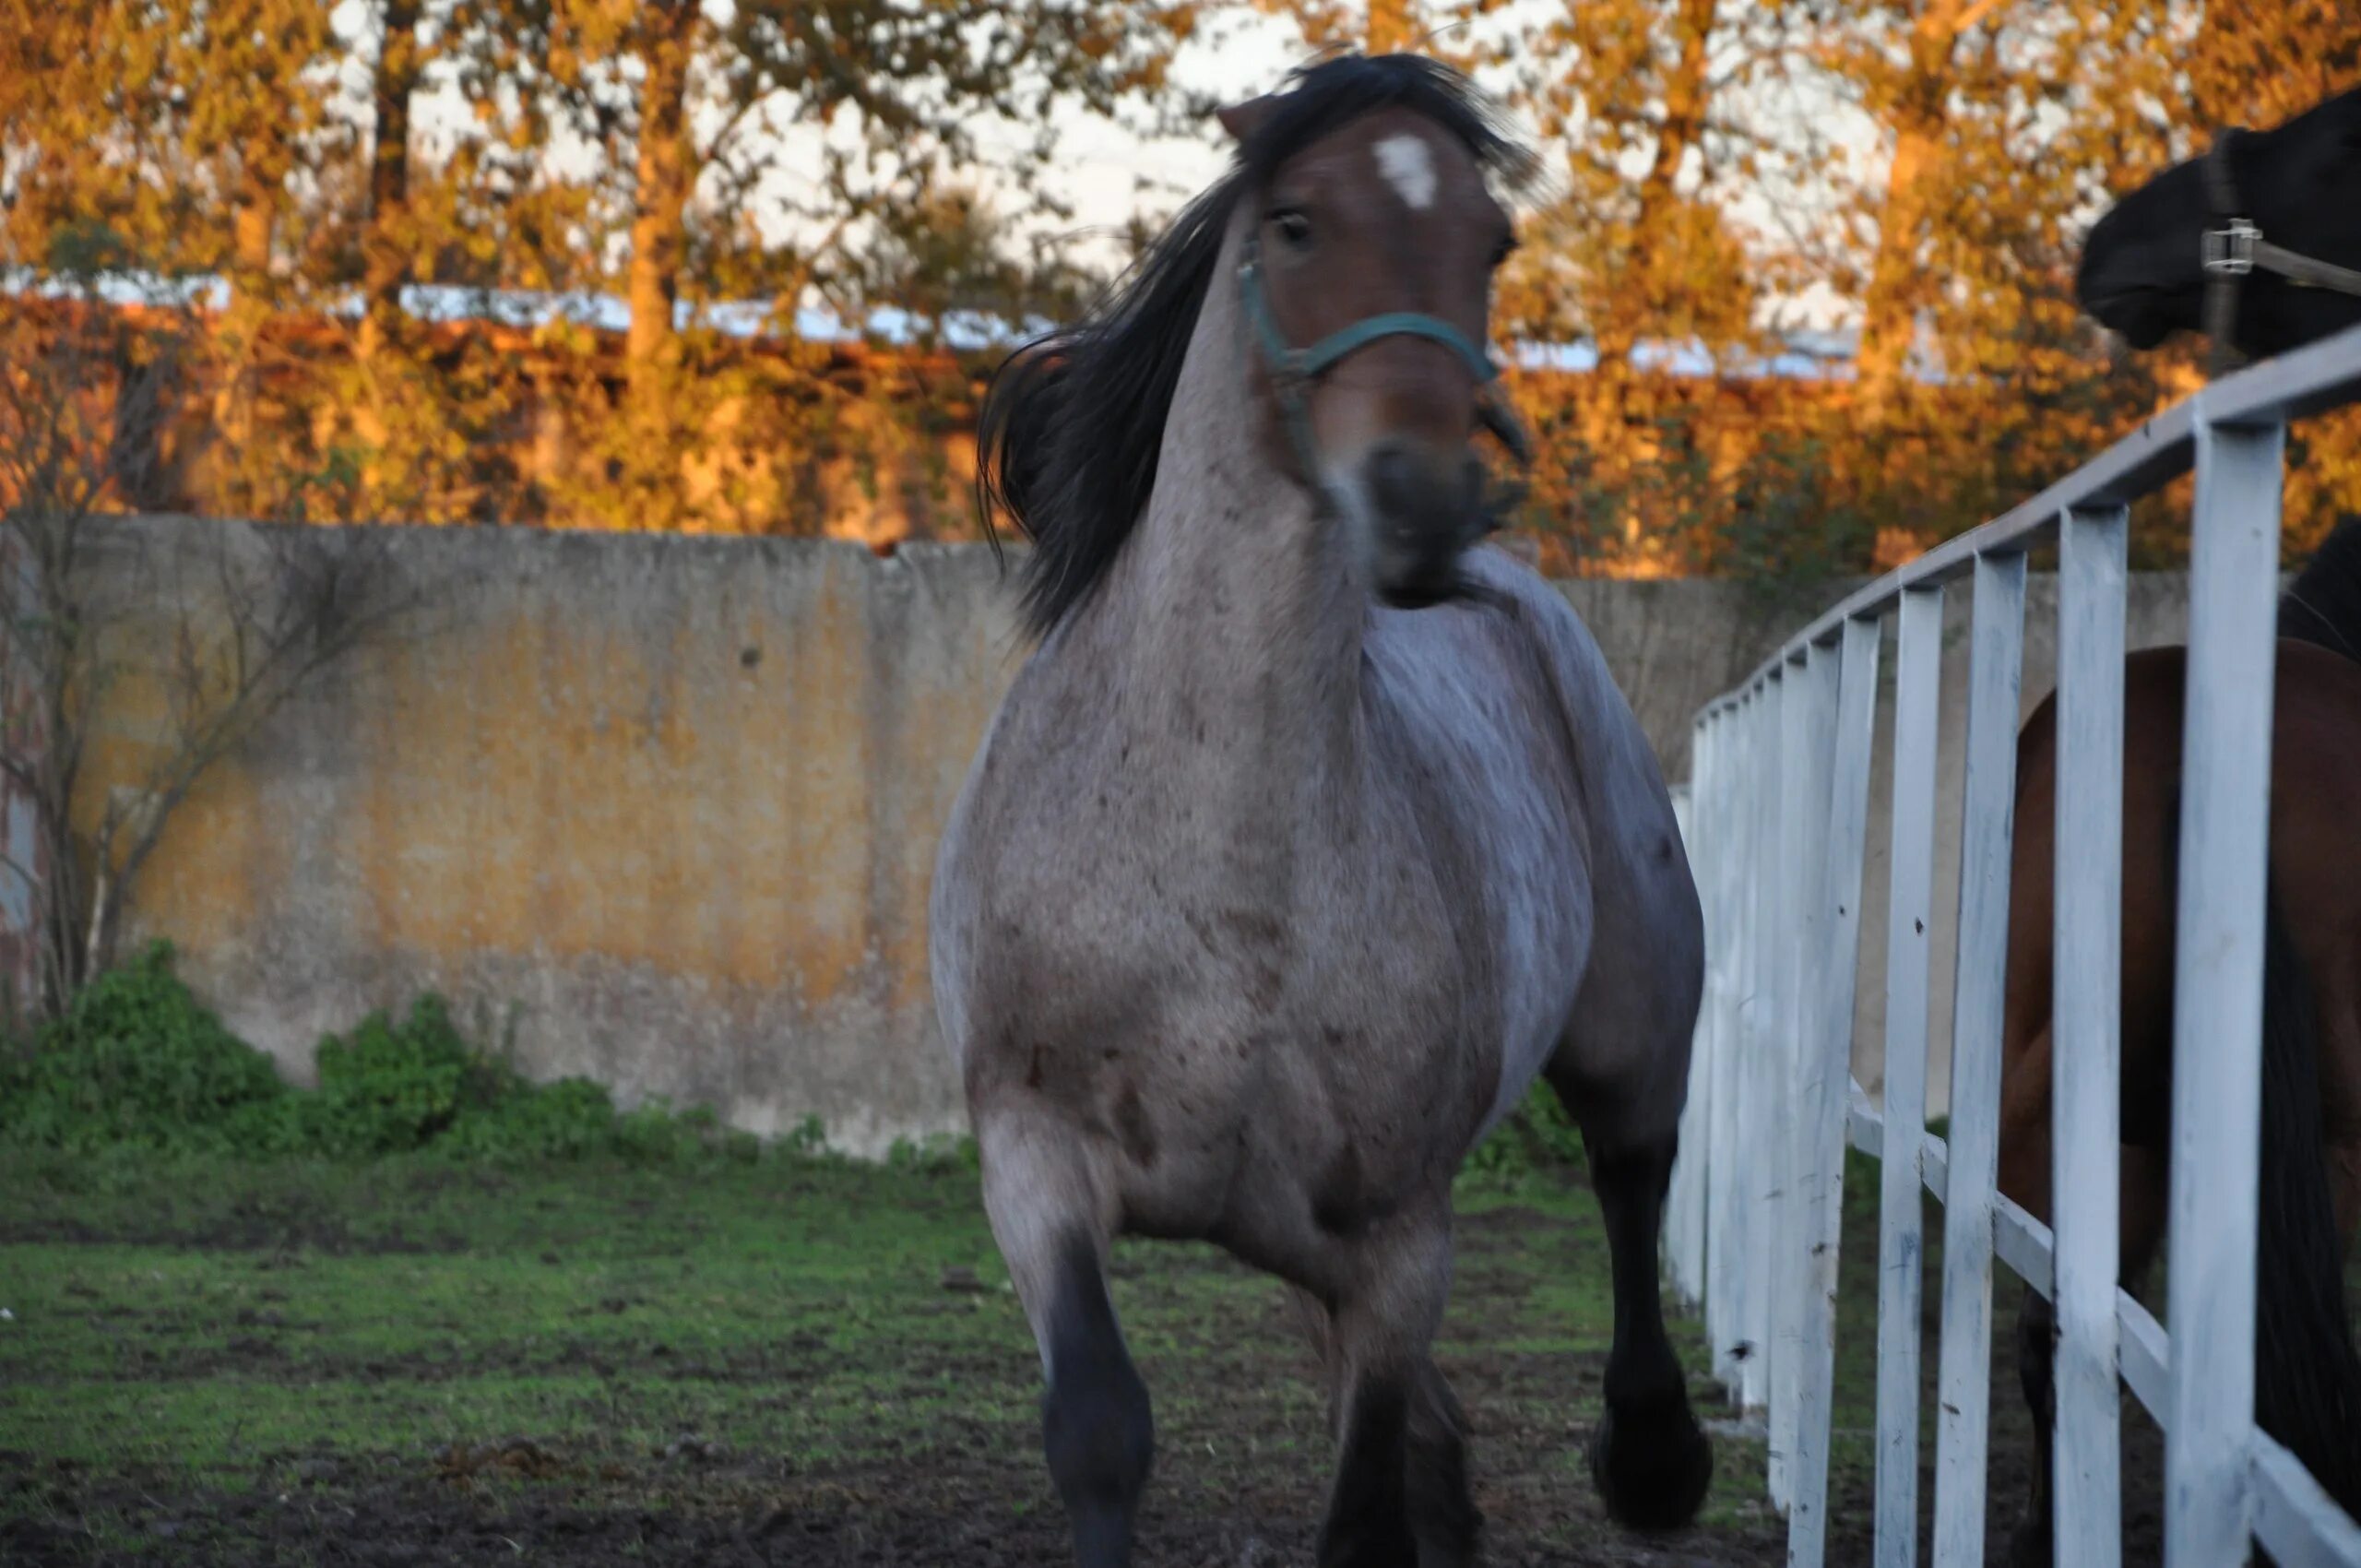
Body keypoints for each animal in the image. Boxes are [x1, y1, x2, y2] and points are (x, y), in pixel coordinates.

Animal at [925, 54, 1718, 1558]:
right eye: (1295, 224)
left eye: (1491, 243)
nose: (1423, 503)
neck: (1223, 875)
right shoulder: (1033, 1157)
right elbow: (1101, 1427)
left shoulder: (1401, 1241)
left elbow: (1362, 1509)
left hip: (1628, 1030)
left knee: (1634, 1175)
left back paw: (1654, 1454)